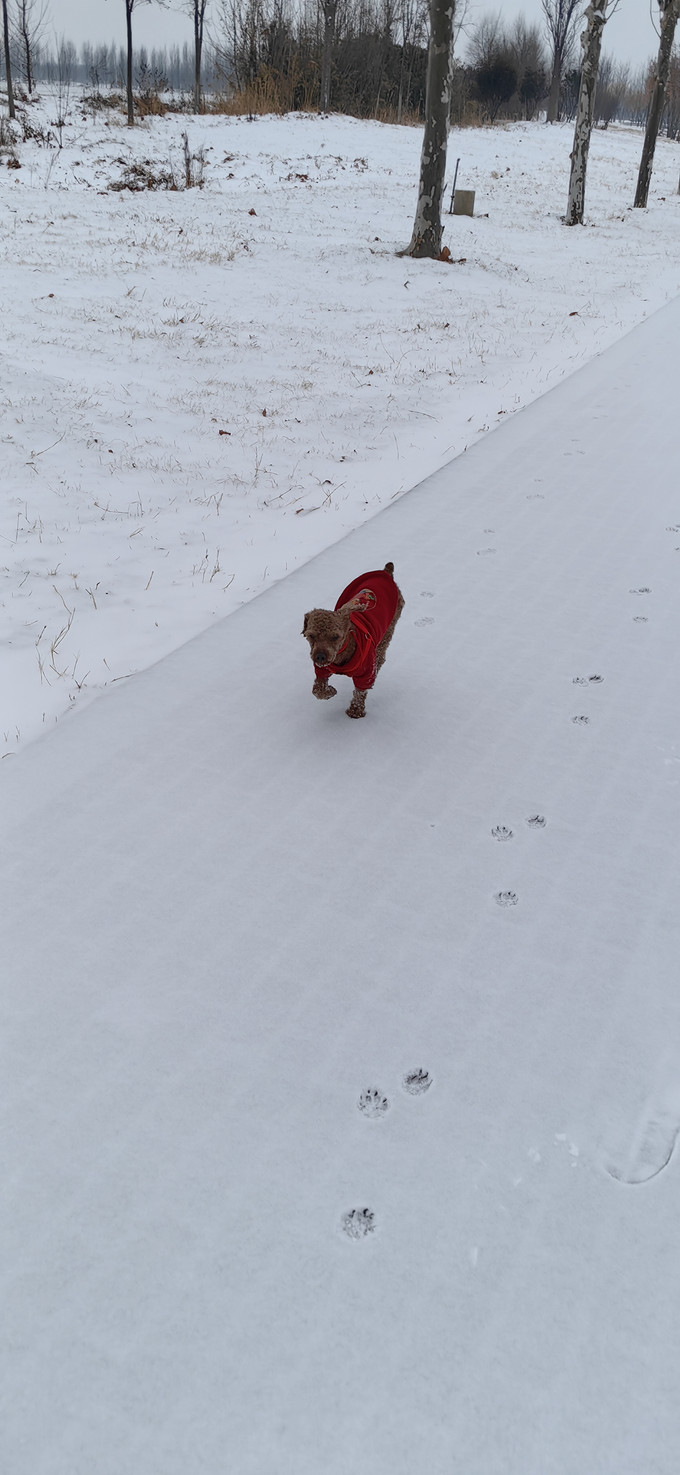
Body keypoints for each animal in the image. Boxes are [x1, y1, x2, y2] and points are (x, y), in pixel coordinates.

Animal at [300, 560, 404, 716]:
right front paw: (330, 691)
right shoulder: (322, 669)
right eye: (311, 635)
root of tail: (386, 573)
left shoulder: (366, 672)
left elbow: (361, 691)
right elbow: (318, 690)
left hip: (390, 627)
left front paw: (355, 711)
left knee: (381, 654)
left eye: (335, 637)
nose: (320, 657)